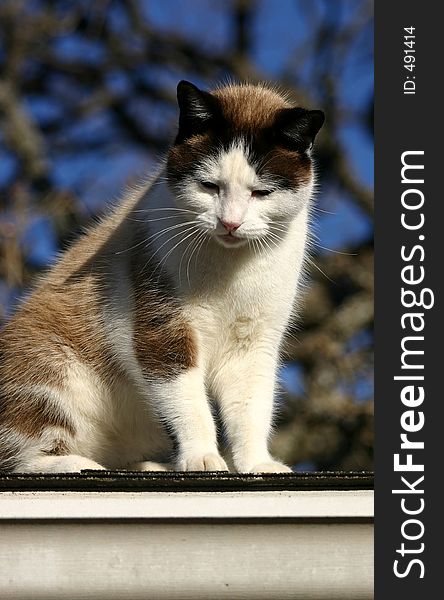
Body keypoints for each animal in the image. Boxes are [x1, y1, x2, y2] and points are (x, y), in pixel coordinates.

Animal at [0, 81, 322, 474]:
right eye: (209, 186)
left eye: (261, 192)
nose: (230, 223)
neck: (231, 266)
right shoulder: (162, 328)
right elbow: (187, 401)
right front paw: (202, 457)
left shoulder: (254, 343)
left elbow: (251, 410)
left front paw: (257, 465)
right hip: (48, 366)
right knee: (19, 456)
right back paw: (82, 465)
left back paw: (148, 466)